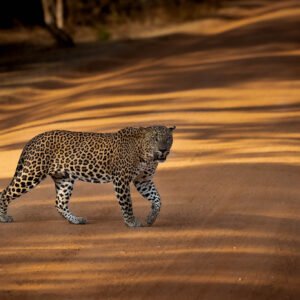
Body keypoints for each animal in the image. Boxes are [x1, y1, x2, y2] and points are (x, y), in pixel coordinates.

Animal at [0, 125, 176, 226]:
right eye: (155, 138)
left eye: (168, 139)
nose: (163, 150)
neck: (147, 155)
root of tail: (34, 139)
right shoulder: (121, 179)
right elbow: (127, 203)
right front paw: (131, 222)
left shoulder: (143, 180)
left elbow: (157, 199)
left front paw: (151, 218)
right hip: (32, 173)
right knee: (5, 193)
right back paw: (3, 217)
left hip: (64, 179)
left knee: (59, 203)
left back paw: (76, 220)